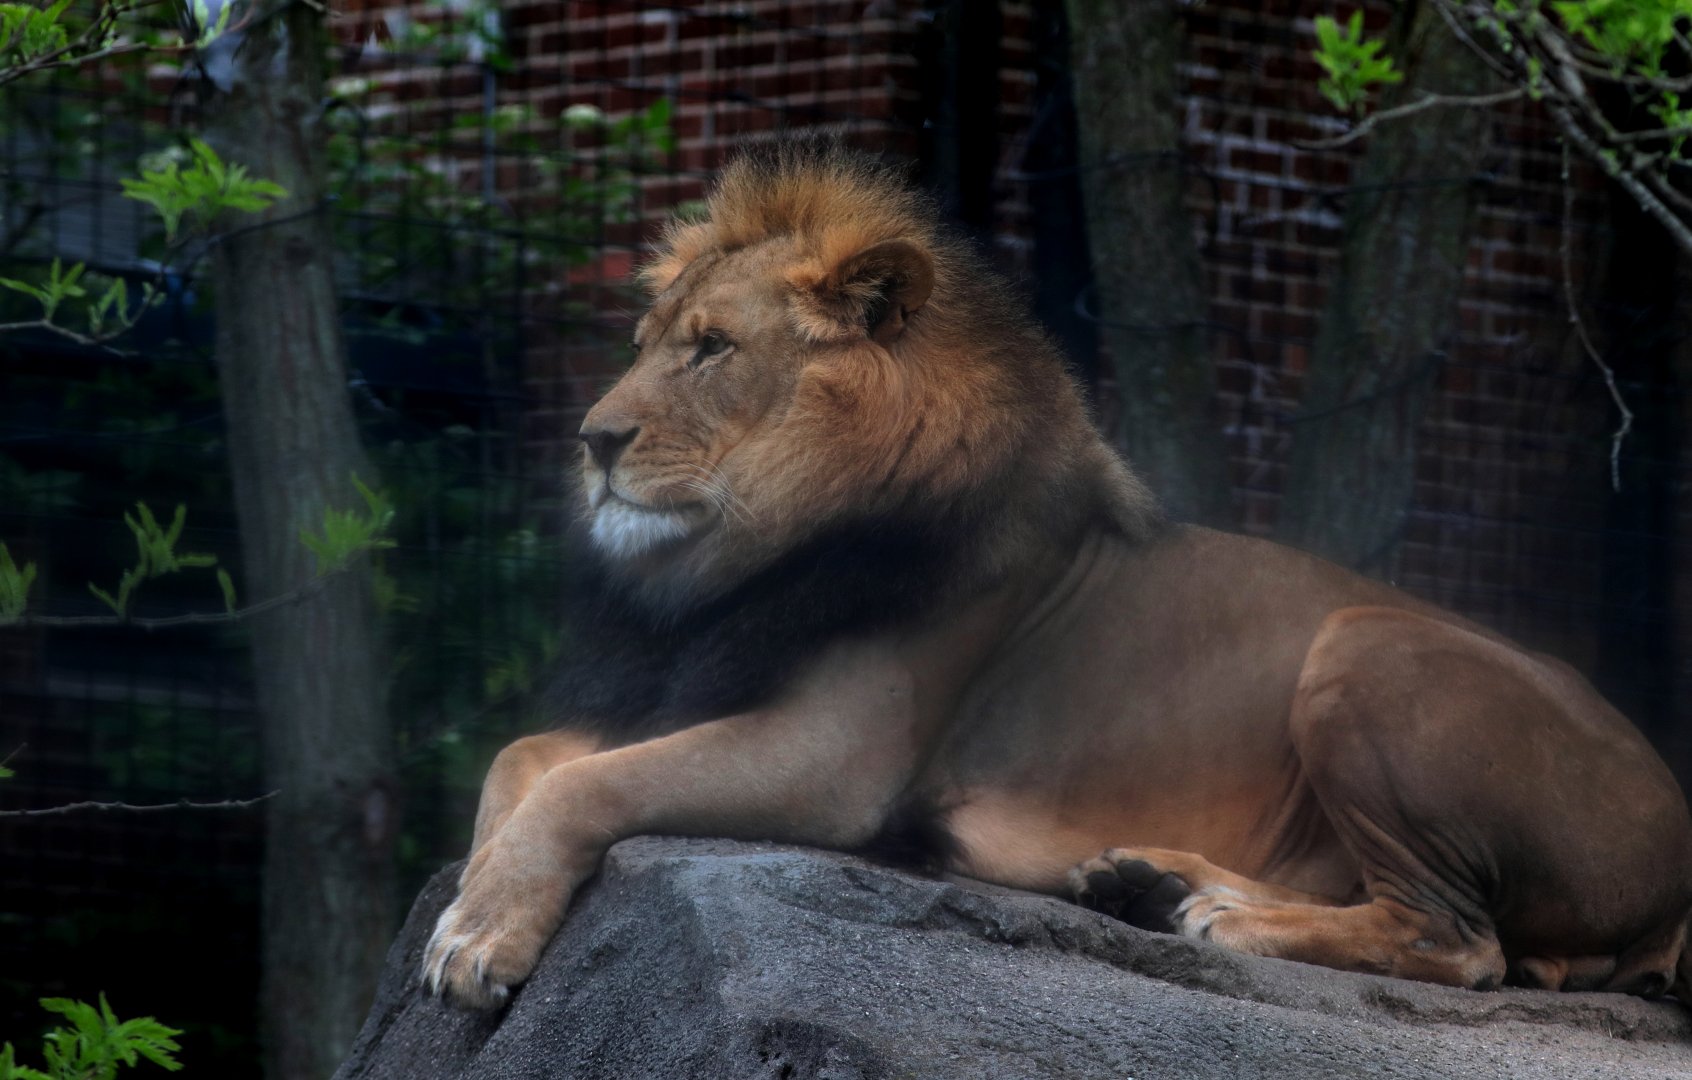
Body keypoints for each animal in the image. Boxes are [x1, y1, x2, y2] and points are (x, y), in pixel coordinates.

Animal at [422, 142, 1692, 1011]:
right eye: (647, 341)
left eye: (714, 349)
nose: (592, 440)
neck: (752, 549)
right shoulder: (694, 683)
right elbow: (521, 761)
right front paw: (472, 898)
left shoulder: (833, 762)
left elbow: (584, 787)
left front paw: (478, 939)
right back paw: (1150, 882)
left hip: (1368, 645)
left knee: (1461, 942)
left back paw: (1224, 922)